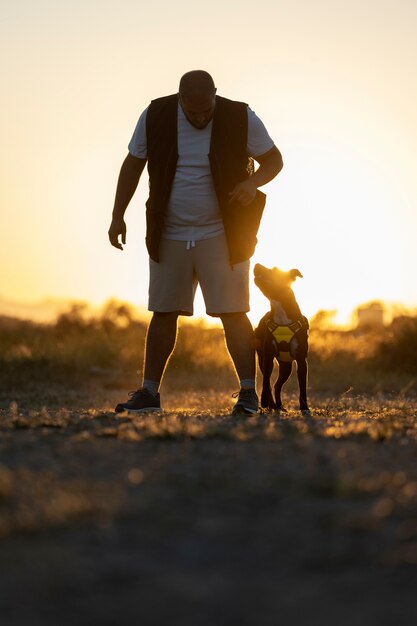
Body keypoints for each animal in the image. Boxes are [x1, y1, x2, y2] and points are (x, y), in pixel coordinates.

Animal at [252, 264, 308, 414]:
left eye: (275, 270)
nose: (256, 264)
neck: (279, 308)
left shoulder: (301, 359)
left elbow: (302, 387)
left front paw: (305, 408)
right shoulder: (268, 356)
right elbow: (266, 382)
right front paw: (265, 401)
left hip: (286, 366)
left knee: (277, 385)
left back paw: (279, 406)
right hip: (265, 359)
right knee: (271, 384)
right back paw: (272, 405)